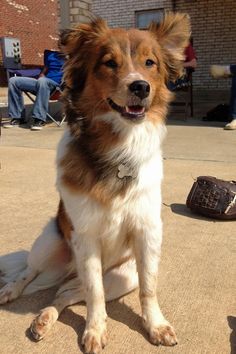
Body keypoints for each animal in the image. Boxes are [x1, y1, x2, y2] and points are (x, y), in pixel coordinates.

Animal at [0, 12, 191, 352]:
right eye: (109, 63)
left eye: (150, 63)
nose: (140, 87)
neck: (119, 147)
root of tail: (66, 270)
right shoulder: (85, 236)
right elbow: (95, 293)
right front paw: (95, 330)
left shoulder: (147, 233)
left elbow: (148, 288)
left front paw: (155, 325)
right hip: (50, 242)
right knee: (29, 272)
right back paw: (12, 290)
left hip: (123, 276)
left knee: (64, 293)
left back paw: (44, 319)